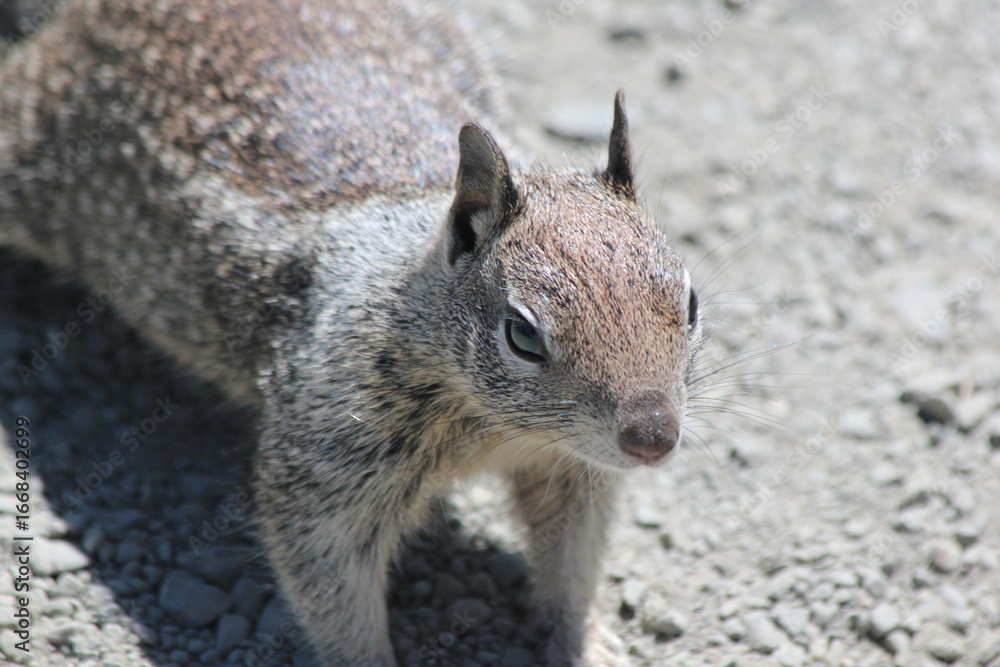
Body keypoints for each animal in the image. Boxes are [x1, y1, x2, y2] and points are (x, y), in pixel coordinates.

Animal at [0, 0, 704, 665]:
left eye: (691, 301)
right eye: (523, 335)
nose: (653, 438)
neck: (499, 427)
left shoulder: (576, 473)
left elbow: (572, 561)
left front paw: (587, 642)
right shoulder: (326, 453)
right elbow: (327, 574)